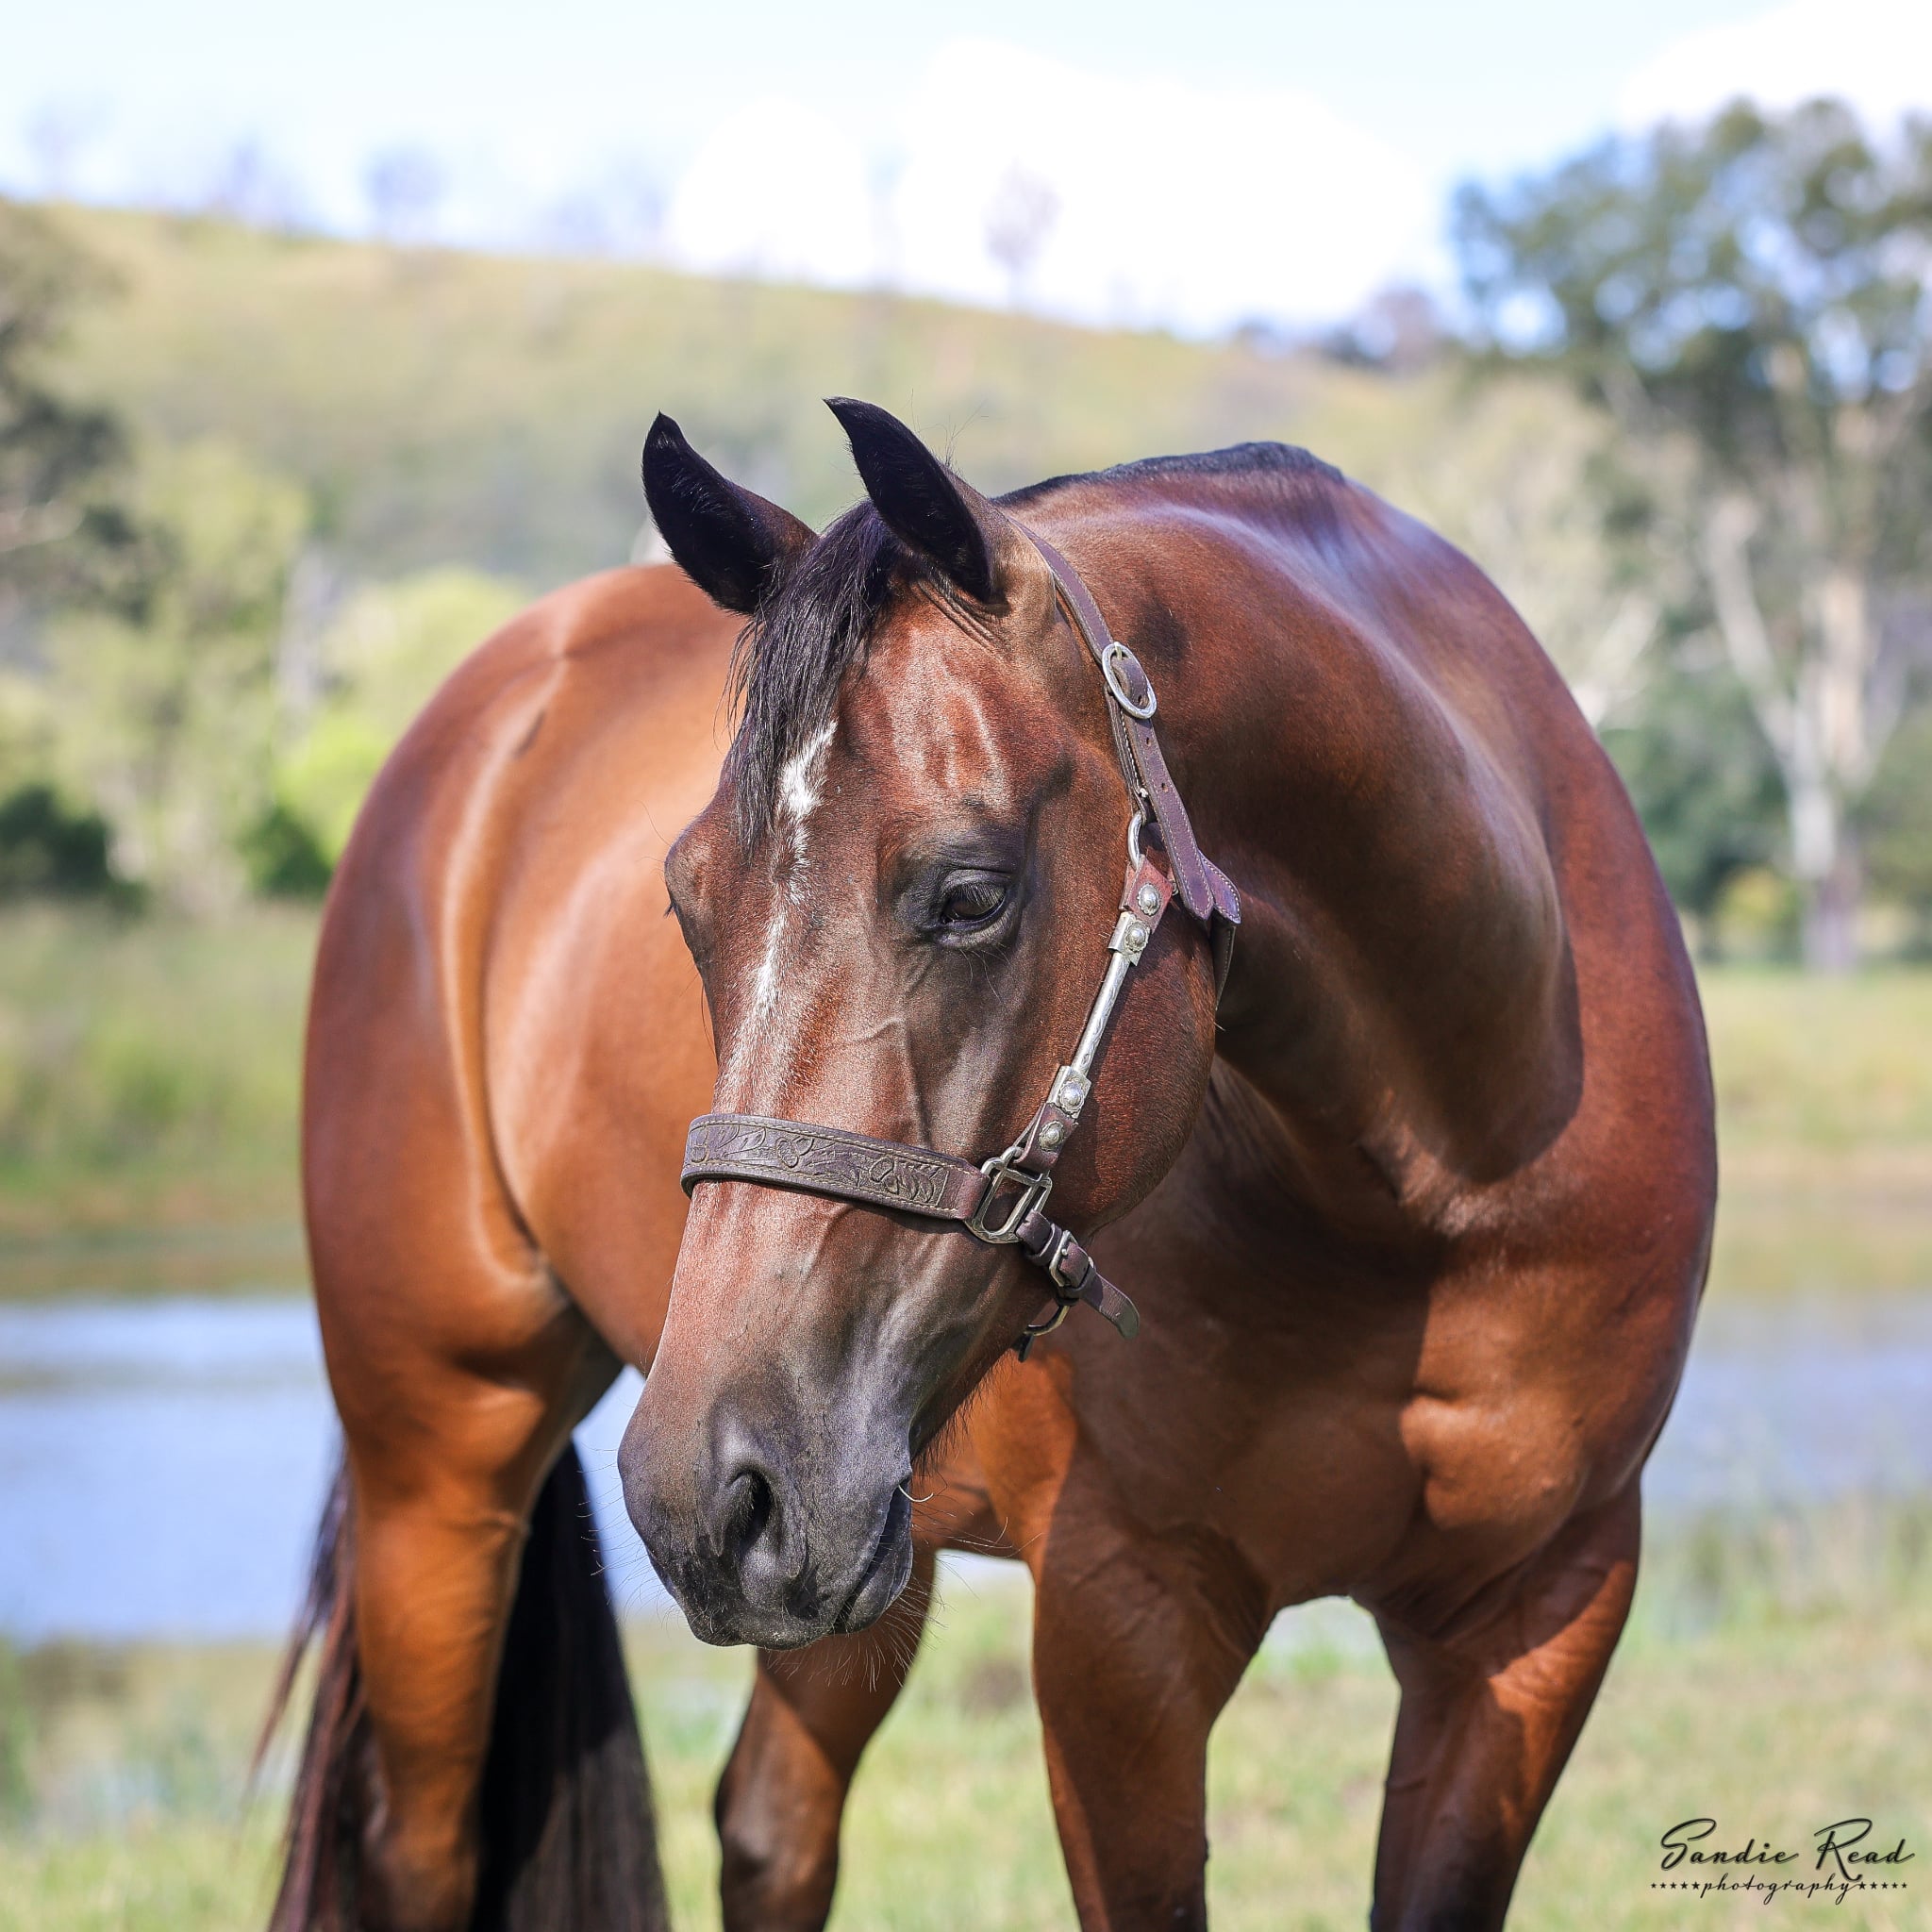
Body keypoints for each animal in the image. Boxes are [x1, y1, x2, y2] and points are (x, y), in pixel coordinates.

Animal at [269, 397, 1715, 1932]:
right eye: (686, 903)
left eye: (968, 894)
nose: (696, 1489)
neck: (1432, 1198)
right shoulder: (1117, 1626)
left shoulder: (1536, 1617)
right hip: (449, 1453)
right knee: (423, 1845)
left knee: (770, 1825)